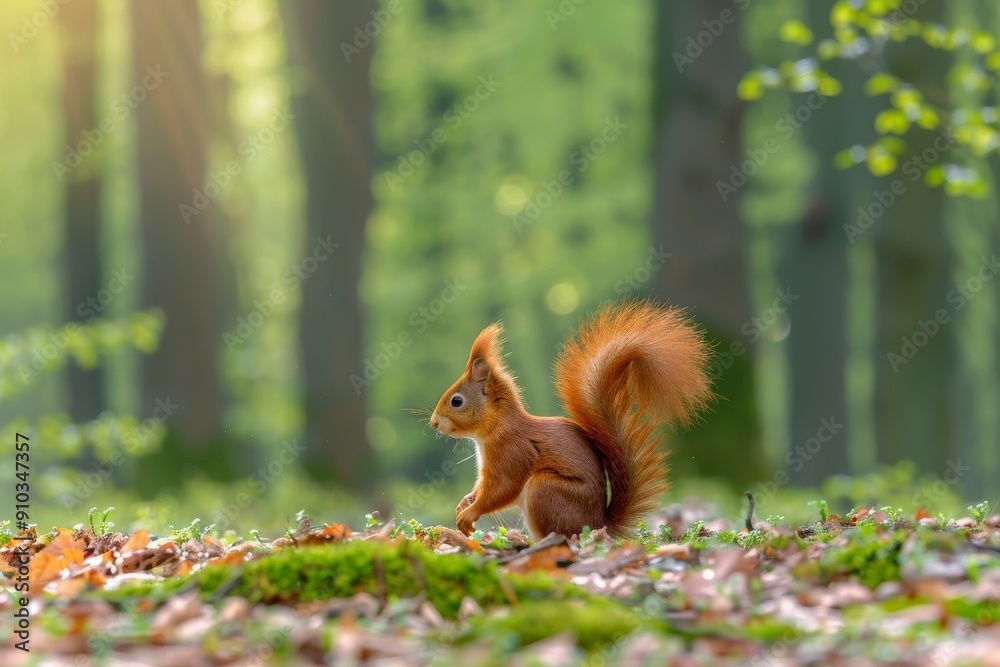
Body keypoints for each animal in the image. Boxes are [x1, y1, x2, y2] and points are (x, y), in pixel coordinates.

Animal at [429, 302, 712, 540]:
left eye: (456, 401)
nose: (434, 423)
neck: (497, 427)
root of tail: (598, 524)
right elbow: (481, 489)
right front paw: (465, 502)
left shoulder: (512, 452)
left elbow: (502, 490)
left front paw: (469, 514)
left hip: (545, 490)